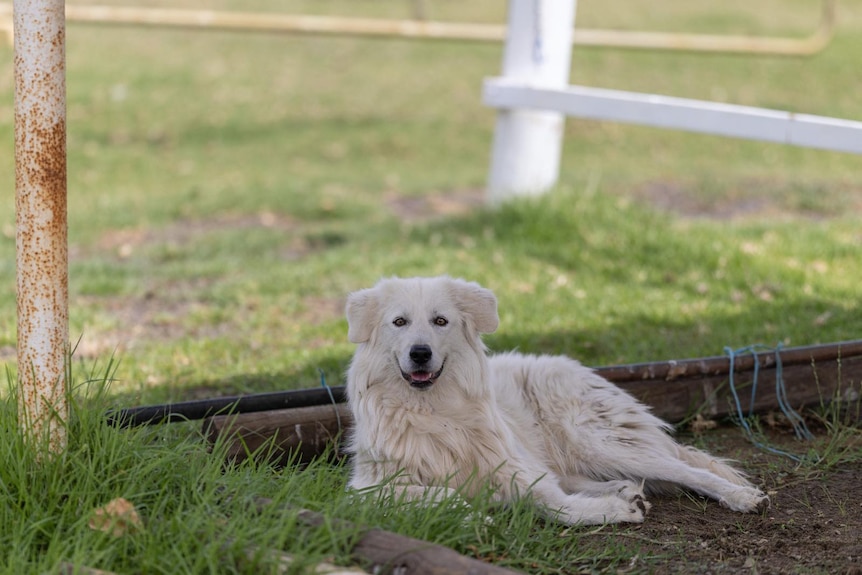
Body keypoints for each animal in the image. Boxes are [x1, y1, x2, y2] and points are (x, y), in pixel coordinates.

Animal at [344, 278, 768, 528]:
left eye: (440, 321)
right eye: (399, 322)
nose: (420, 353)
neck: (433, 412)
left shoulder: (518, 470)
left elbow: (556, 505)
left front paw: (613, 512)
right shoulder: (365, 489)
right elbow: (444, 494)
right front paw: (470, 516)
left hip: (594, 440)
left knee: (687, 469)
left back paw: (742, 497)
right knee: (587, 476)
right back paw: (622, 489)